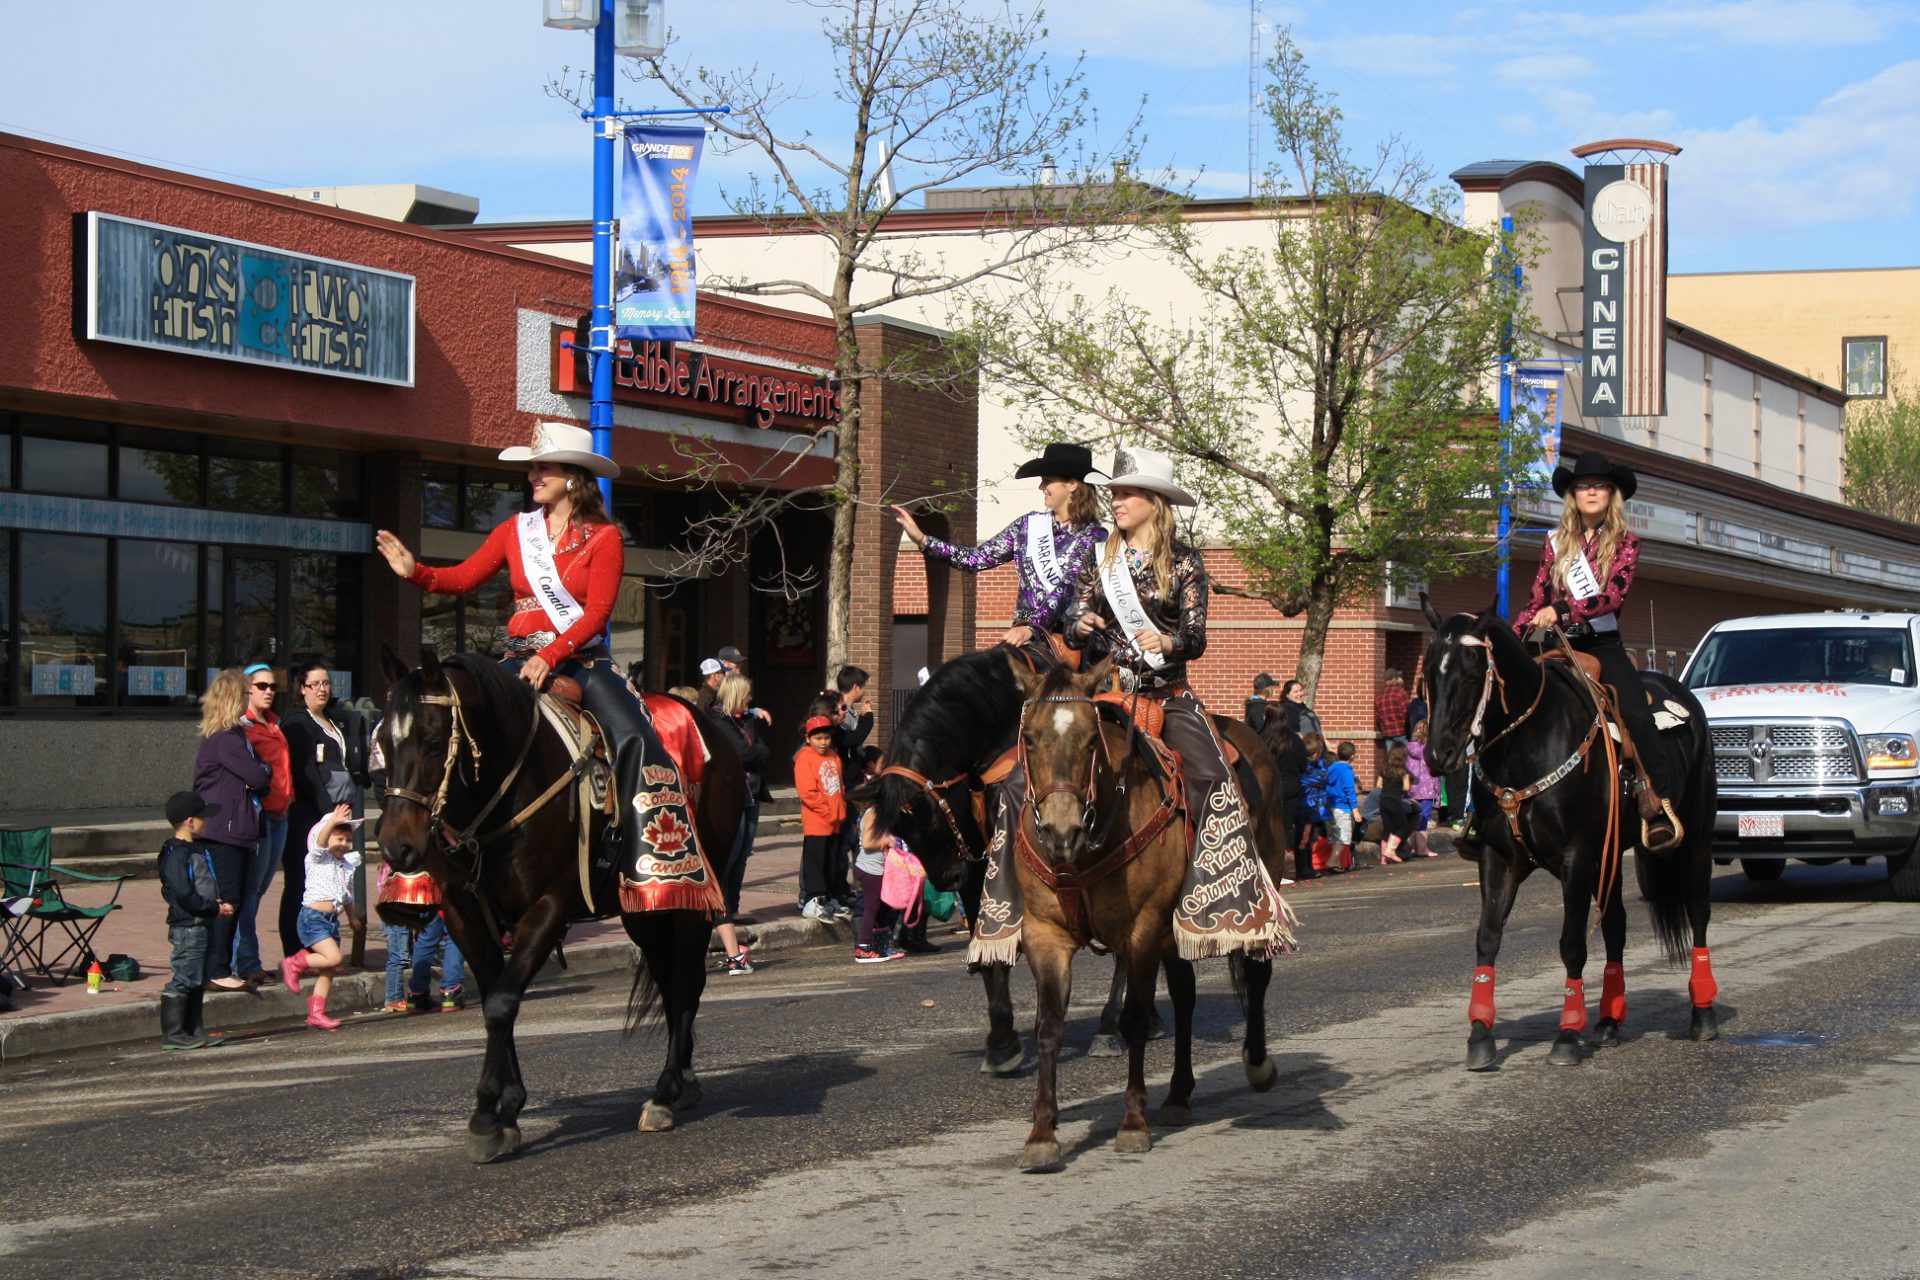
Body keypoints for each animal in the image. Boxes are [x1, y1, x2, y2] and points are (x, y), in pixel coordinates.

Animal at [372, 652, 741, 1159]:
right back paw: (682, 1083)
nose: (397, 848)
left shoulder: (549, 907)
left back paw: (665, 1093)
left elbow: (501, 1003)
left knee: (686, 982)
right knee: (672, 982)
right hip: (642, 910)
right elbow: (495, 999)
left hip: (688, 897)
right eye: (382, 744)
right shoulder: (465, 916)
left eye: (432, 743)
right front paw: (506, 1108)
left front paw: (488, 1114)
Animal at [1420, 602, 1720, 1074]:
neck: (1527, 743)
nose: (1438, 754)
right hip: (1611, 855)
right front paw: (1481, 1034)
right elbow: (1487, 938)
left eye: (1471, 671)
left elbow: (1572, 944)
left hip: (1695, 840)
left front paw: (1566, 1035)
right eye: (1430, 671)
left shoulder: (1575, 858)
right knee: (1616, 925)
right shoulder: (1499, 858)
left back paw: (1703, 1013)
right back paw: (1610, 1022)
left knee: (1698, 912)